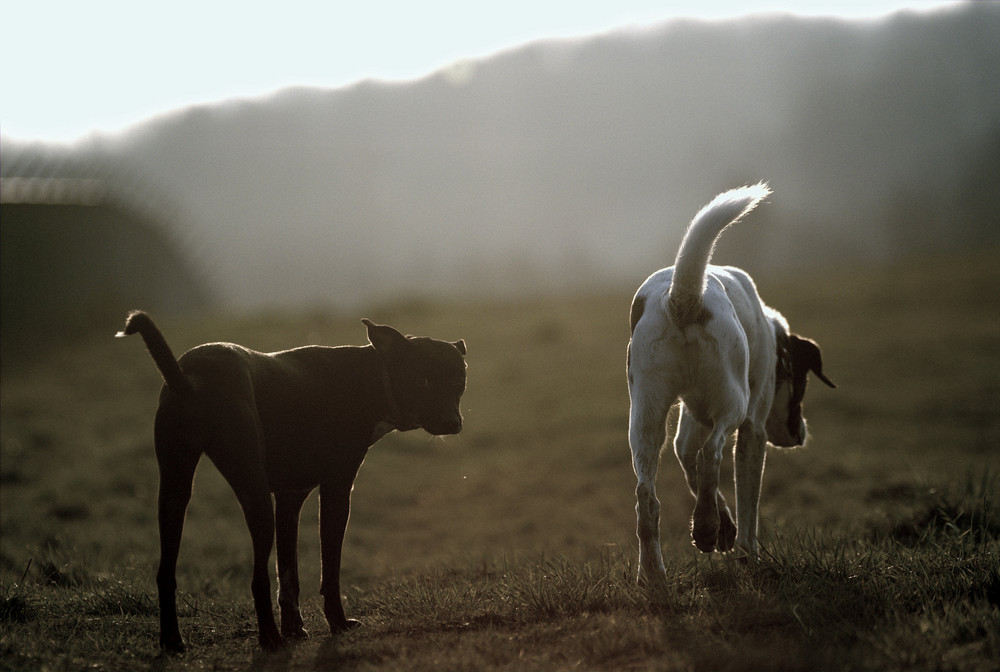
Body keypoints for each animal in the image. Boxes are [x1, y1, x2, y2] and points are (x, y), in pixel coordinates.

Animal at [119, 312, 470, 652]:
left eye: (459, 383)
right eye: (422, 380)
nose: (452, 423)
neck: (369, 377)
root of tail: (190, 375)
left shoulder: (289, 500)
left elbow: (288, 572)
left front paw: (294, 627)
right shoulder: (336, 489)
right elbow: (329, 568)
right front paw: (336, 623)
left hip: (175, 490)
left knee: (166, 573)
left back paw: (172, 640)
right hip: (254, 492)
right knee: (257, 578)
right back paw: (269, 639)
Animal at [624, 182, 836, 576]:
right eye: (801, 383)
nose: (800, 434)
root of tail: (682, 298)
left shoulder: (688, 426)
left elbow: (690, 465)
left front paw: (722, 528)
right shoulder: (754, 428)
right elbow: (746, 500)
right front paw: (744, 550)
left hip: (645, 417)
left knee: (647, 495)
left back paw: (654, 574)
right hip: (735, 403)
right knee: (711, 456)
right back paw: (705, 528)